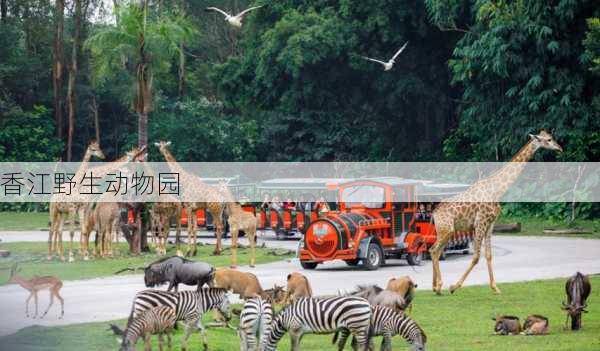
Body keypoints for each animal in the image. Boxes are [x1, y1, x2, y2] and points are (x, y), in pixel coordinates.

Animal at [432, 131, 564, 296]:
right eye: (549, 139)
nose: (560, 148)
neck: (497, 190)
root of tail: (434, 213)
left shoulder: (490, 224)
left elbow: (489, 255)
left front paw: (495, 287)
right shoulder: (480, 223)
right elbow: (476, 257)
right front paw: (454, 287)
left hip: (445, 231)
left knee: (434, 251)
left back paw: (436, 287)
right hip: (446, 229)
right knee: (434, 250)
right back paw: (439, 287)